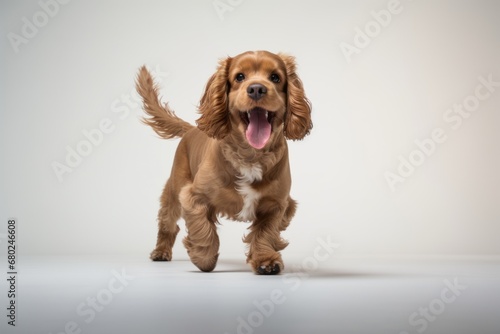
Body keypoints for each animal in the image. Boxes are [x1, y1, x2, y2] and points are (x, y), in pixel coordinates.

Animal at [135, 50, 310, 274]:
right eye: (239, 77)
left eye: (275, 77)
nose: (256, 89)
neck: (251, 155)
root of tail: (191, 129)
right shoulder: (193, 196)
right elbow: (203, 229)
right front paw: (204, 258)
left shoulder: (277, 205)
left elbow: (266, 233)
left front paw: (265, 260)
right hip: (174, 191)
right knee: (168, 224)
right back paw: (161, 251)